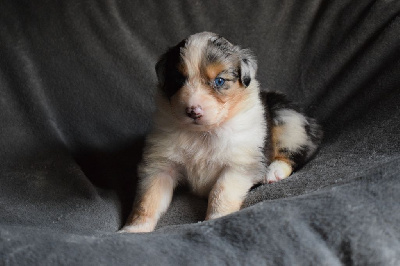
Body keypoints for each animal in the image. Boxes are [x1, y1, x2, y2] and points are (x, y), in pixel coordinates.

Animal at [120, 32, 324, 234]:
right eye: (178, 80)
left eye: (219, 81)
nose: (193, 111)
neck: (202, 133)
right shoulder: (161, 165)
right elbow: (147, 200)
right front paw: (133, 230)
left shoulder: (238, 165)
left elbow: (221, 193)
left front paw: (216, 219)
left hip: (288, 117)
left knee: (293, 151)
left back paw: (274, 172)